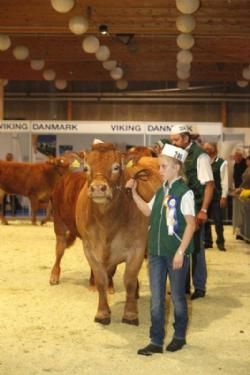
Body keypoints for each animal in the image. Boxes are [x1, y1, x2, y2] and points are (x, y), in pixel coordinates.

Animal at [49, 143, 161, 326]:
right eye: (86, 168)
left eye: (116, 167)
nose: (98, 188)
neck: (107, 224)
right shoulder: (90, 248)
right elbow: (101, 280)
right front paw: (102, 312)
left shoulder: (137, 248)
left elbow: (129, 280)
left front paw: (130, 313)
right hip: (59, 222)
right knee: (60, 248)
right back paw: (54, 275)